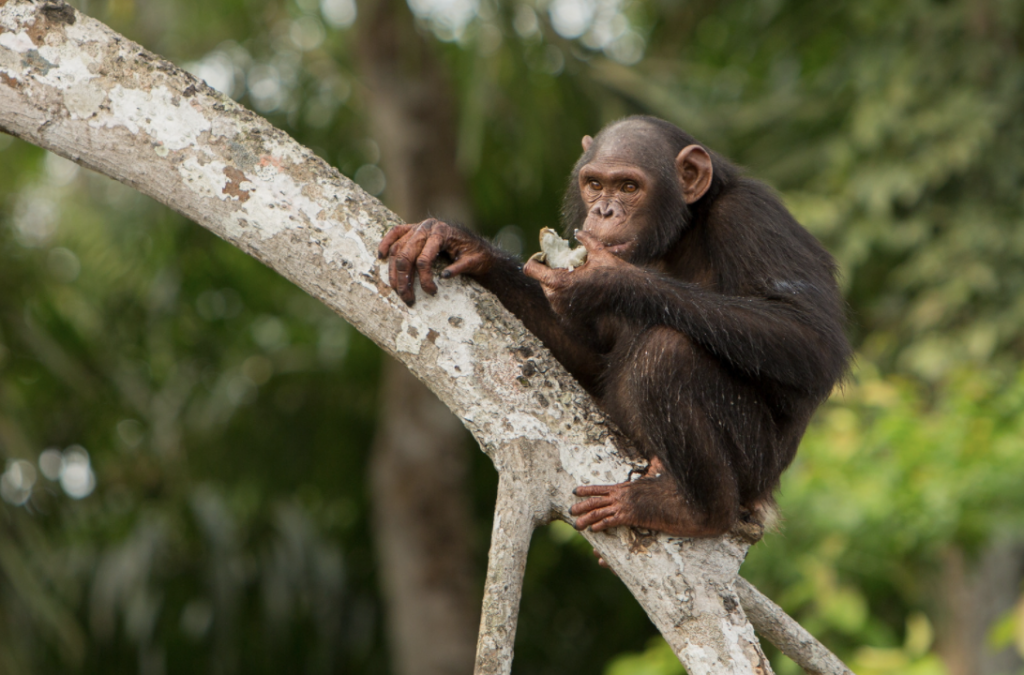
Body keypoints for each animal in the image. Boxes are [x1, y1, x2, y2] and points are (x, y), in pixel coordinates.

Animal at [376, 114, 847, 536]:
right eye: (595, 184)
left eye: (629, 187)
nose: (603, 210)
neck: (680, 233)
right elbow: (592, 356)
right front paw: (464, 245)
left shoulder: (753, 217)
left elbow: (810, 337)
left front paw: (604, 279)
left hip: (754, 467)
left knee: (667, 354)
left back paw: (694, 511)